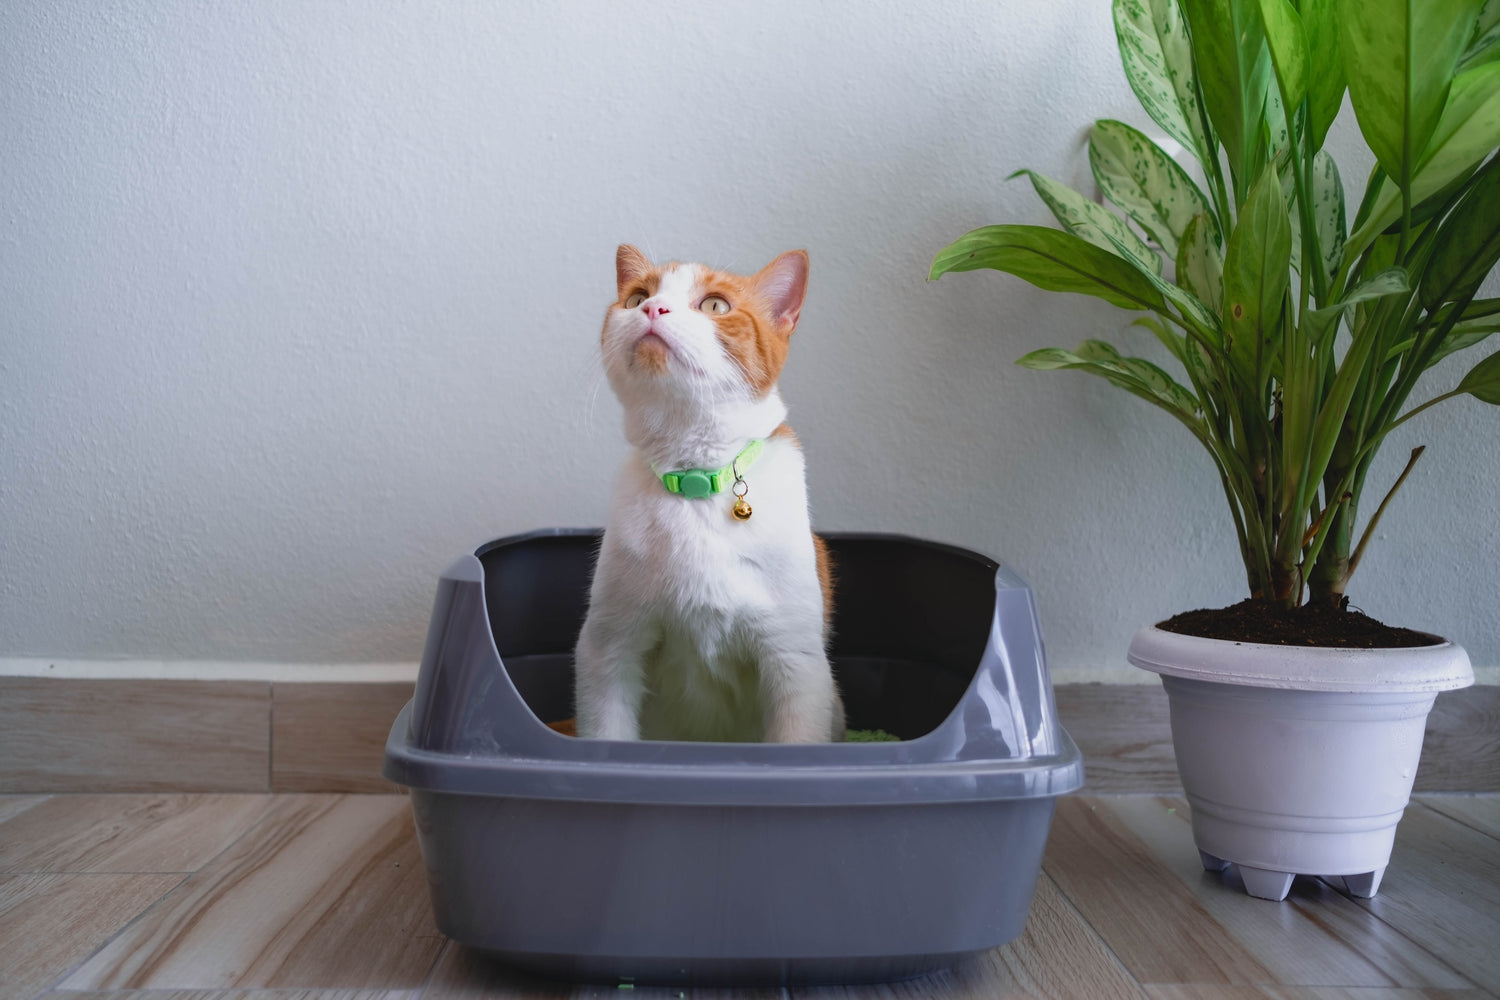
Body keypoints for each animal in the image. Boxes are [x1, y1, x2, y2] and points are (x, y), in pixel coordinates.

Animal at [570, 242, 846, 743]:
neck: (694, 479)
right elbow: (606, 734)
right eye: (637, 297)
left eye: (716, 305)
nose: (653, 309)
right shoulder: (608, 646)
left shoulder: (794, 660)